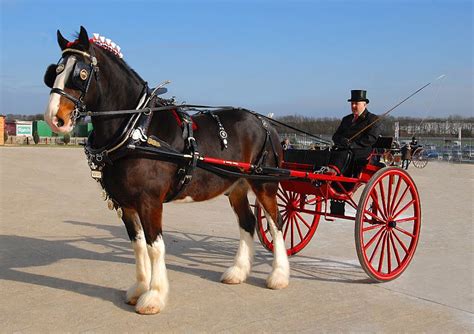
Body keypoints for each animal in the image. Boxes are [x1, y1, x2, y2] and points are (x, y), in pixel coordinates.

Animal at [43, 27, 288, 314]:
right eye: (54, 72)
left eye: (81, 74)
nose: (54, 119)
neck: (136, 129)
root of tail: (265, 123)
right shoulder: (125, 204)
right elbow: (138, 245)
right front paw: (139, 288)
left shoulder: (150, 202)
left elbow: (155, 247)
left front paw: (154, 296)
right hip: (237, 187)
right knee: (247, 223)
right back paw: (238, 272)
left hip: (265, 185)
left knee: (276, 223)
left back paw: (279, 276)